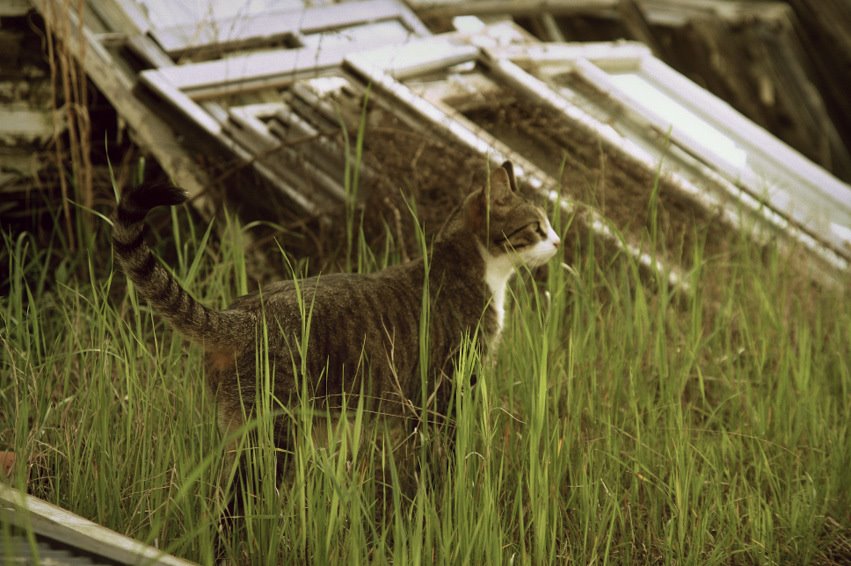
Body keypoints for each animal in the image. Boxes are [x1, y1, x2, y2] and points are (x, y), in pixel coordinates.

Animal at [113, 162, 564, 442]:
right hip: (272, 428)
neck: (476, 269)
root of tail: (244, 313)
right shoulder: (450, 387)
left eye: (548, 226)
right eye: (537, 227)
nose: (559, 242)